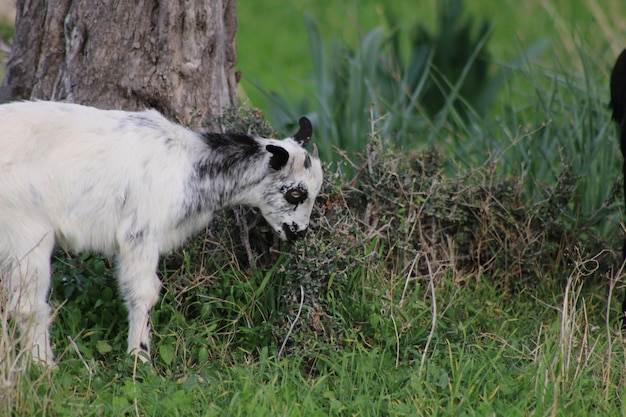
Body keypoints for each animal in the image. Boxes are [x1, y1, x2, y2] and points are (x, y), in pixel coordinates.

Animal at [0, 101, 322, 364]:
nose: (299, 232)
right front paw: (138, 358)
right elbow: (144, 292)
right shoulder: (140, 233)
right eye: (295, 193)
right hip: (27, 230)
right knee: (28, 306)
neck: (192, 168)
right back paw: (44, 368)